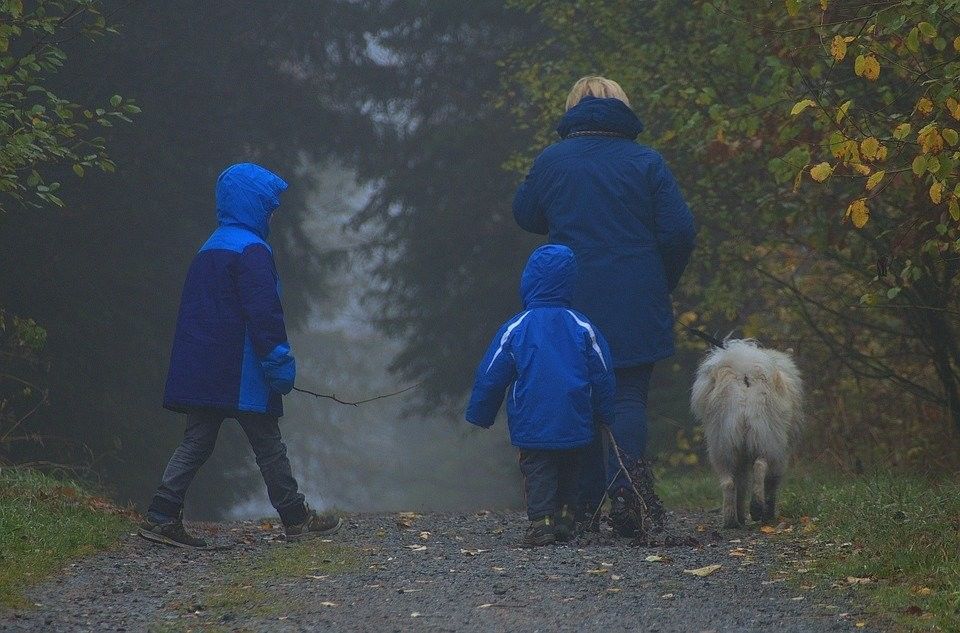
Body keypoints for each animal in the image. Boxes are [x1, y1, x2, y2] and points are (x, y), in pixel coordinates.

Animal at [688, 338, 804, 524]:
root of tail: (744, 374)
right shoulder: (781, 456)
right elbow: (772, 486)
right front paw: (769, 514)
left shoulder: (740, 452)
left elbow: (741, 485)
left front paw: (741, 515)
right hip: (767, 439)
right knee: (760, 467)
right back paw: (756, 508)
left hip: (724, 444)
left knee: (728, 482)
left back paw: (731, 520)